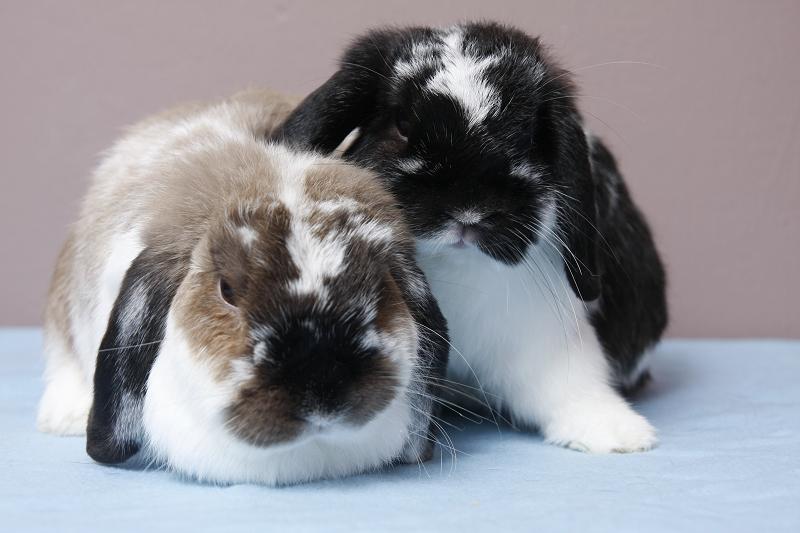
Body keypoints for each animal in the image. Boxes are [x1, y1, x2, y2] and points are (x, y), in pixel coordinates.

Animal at [272, 22, 668, 453]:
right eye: (402, 125)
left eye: (528, 136)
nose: (468, 211)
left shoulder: (547, 339)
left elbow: (570, 384)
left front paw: (617, 434)